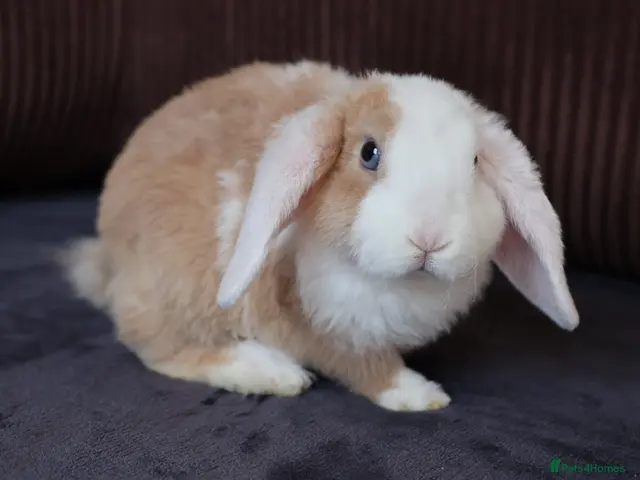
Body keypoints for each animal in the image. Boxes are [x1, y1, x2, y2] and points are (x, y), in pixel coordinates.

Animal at [60, 60, 579, 412]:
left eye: (473, 162)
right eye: (369, 153)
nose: (428, 238)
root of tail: (106, 255)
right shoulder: (321, 324)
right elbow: (365, 365)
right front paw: (418, 394)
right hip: (178, 287)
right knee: (162, 347)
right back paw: (273, 373)